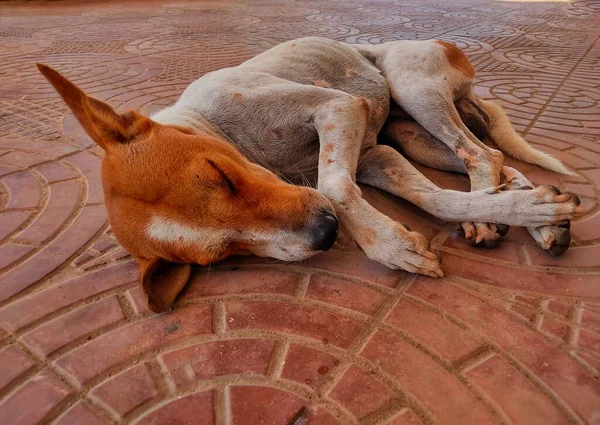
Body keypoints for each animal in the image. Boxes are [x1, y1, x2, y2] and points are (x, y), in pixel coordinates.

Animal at [36, 36, 580, 312]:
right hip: (411, 136)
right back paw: (536, 215)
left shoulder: (338, 108)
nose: (324, 235)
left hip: (413, 84)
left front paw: (387, 243)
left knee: (480, 154)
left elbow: (332, 184)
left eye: (218, 173)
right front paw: (396, 239)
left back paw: (503, 213)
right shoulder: (375, 155)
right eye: (224, 252)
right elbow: (430, 199)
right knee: (496, 158)